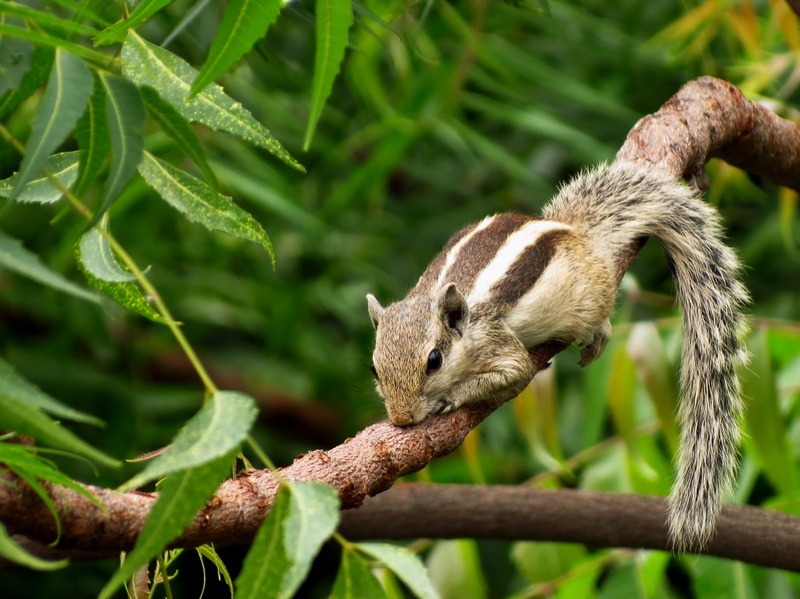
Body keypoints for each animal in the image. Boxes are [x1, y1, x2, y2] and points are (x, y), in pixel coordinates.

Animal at [366, 161, 749, 551]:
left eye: (434, 361)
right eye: (374, 368)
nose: (401, 419)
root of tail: (573, 229)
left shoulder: (497, 342)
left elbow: (515, 371)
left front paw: (452, 396)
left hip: (590, 297)